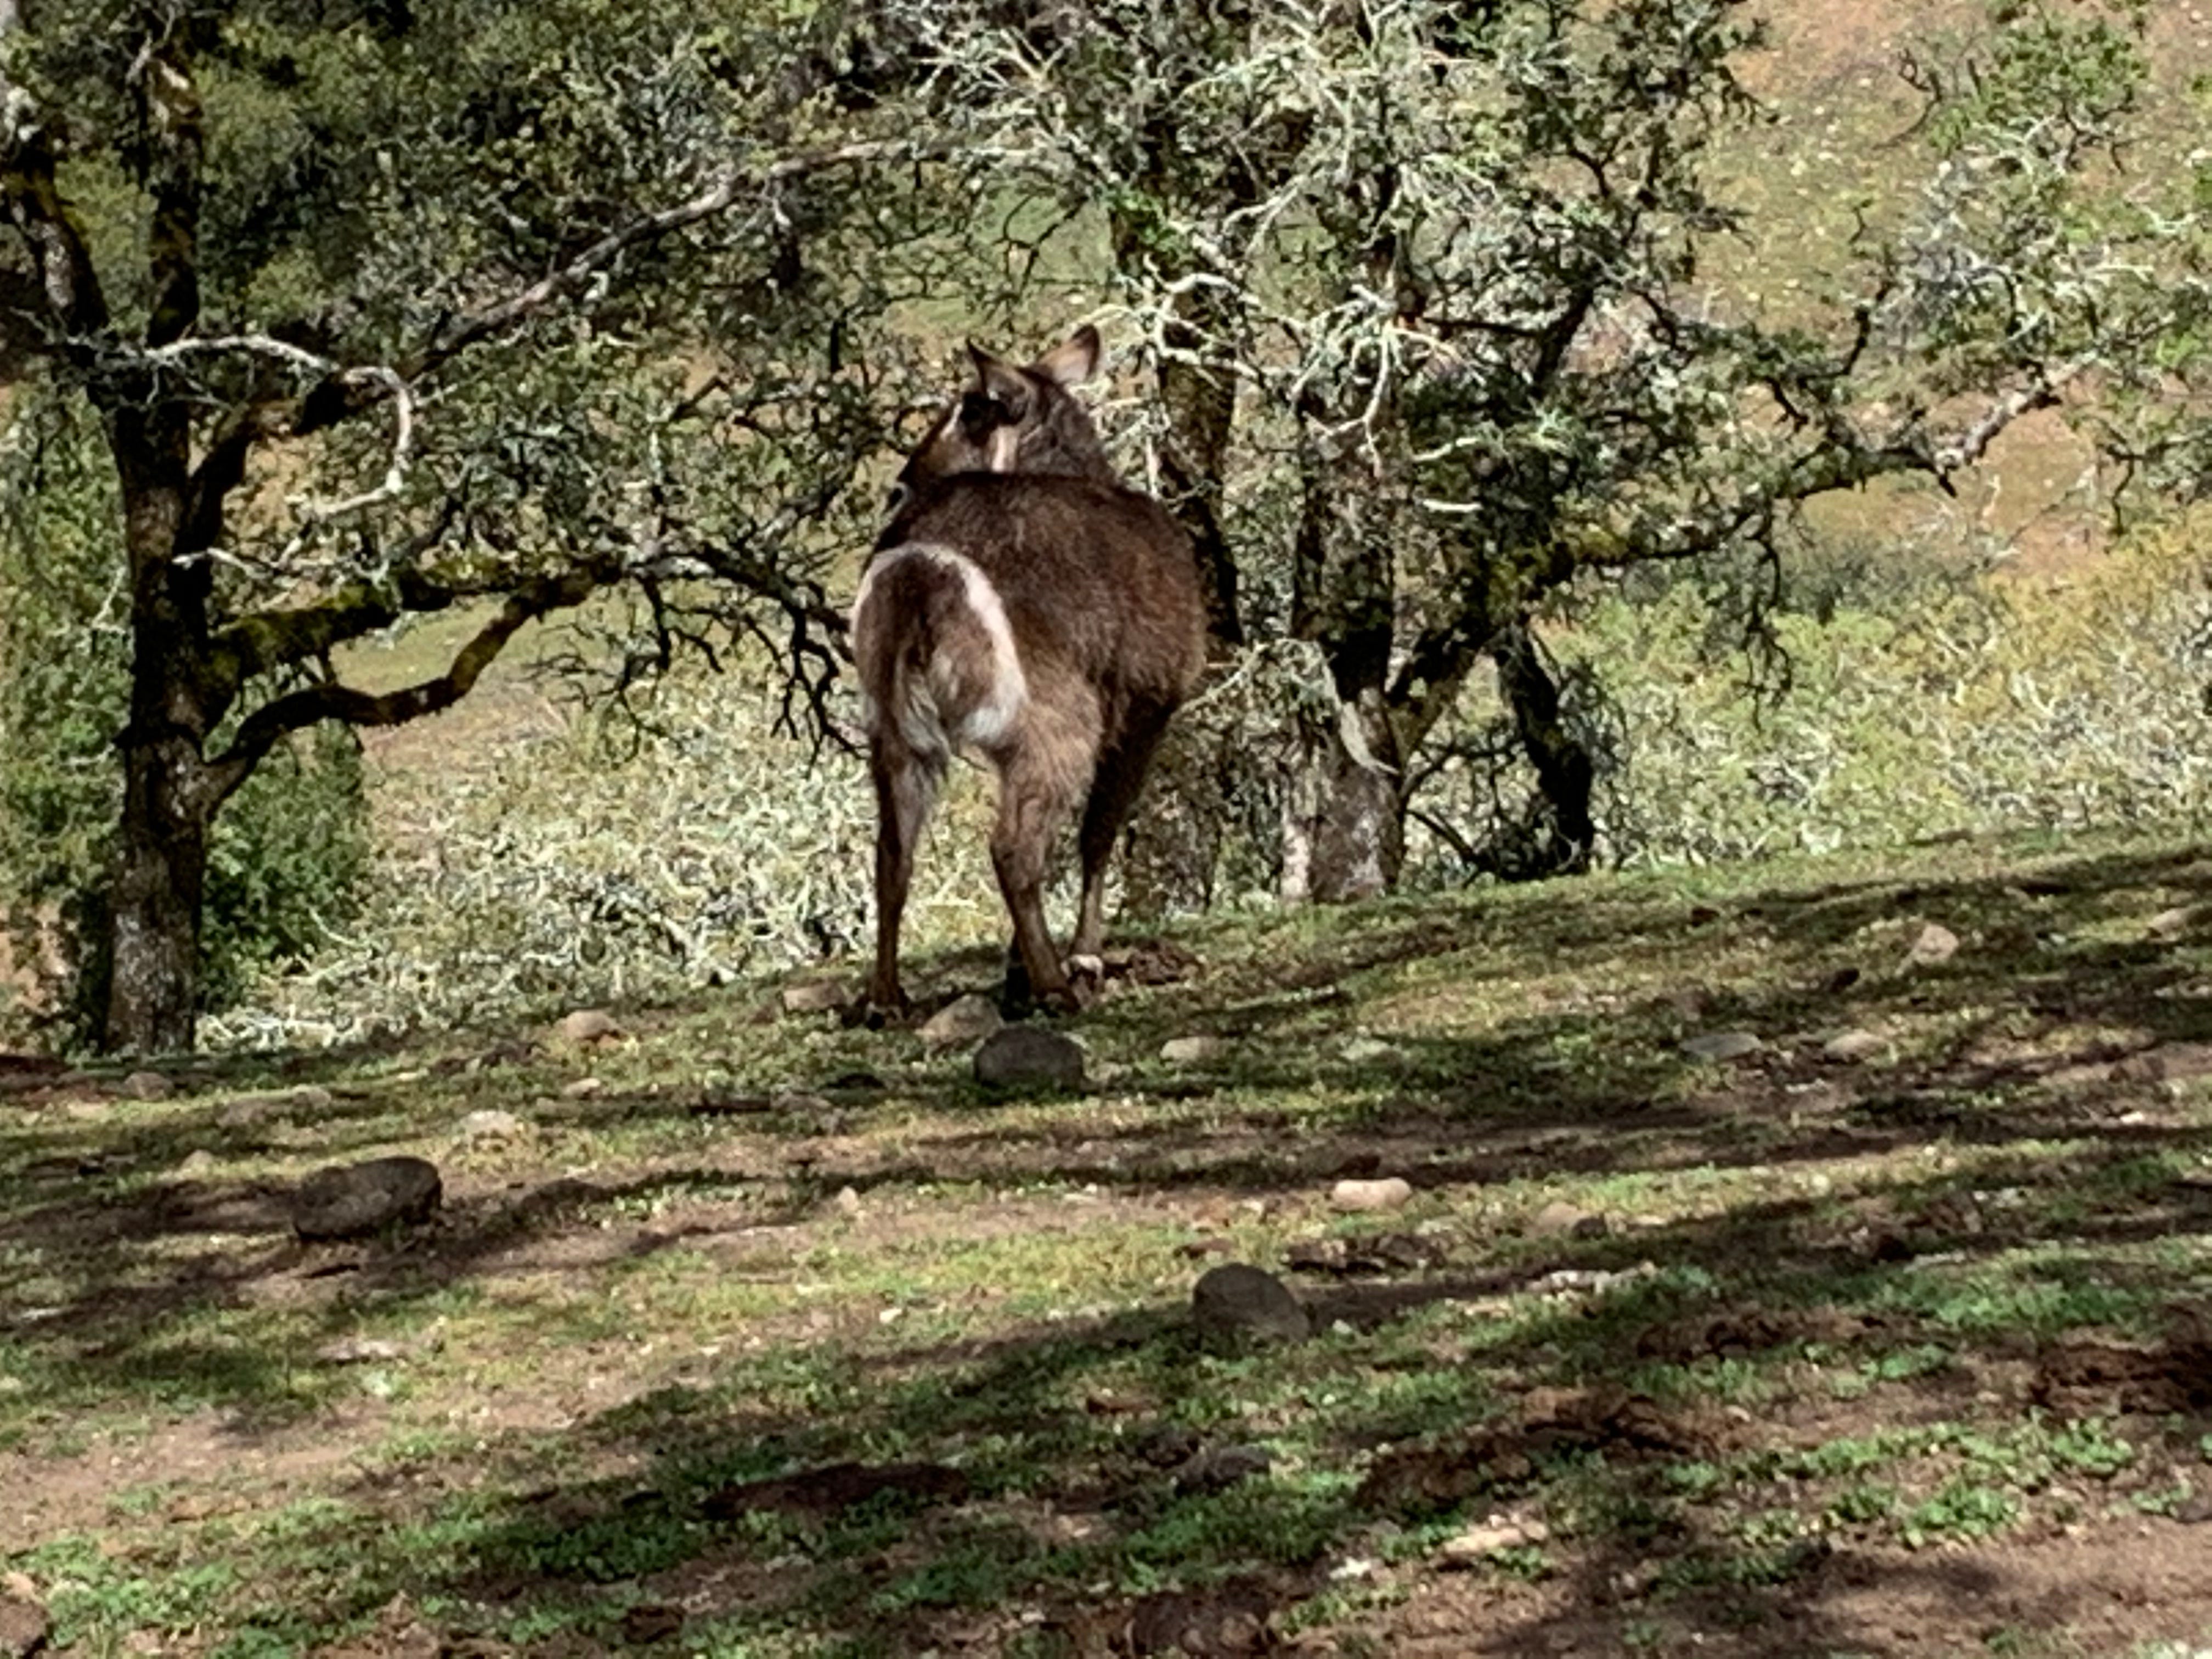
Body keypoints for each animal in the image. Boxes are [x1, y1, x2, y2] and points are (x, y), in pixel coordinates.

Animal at [854, 327, 1212, 1026]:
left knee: (893, 852)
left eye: (969, 411)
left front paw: (1018, 976)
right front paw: (1084, 961)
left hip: (894, 729)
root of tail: (924, 559)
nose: (898, 487)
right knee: (1014, 849)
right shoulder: (1146, 713)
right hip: (1057, 721)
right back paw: (1055, 988)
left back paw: (887, 1000)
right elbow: (1099, 834)